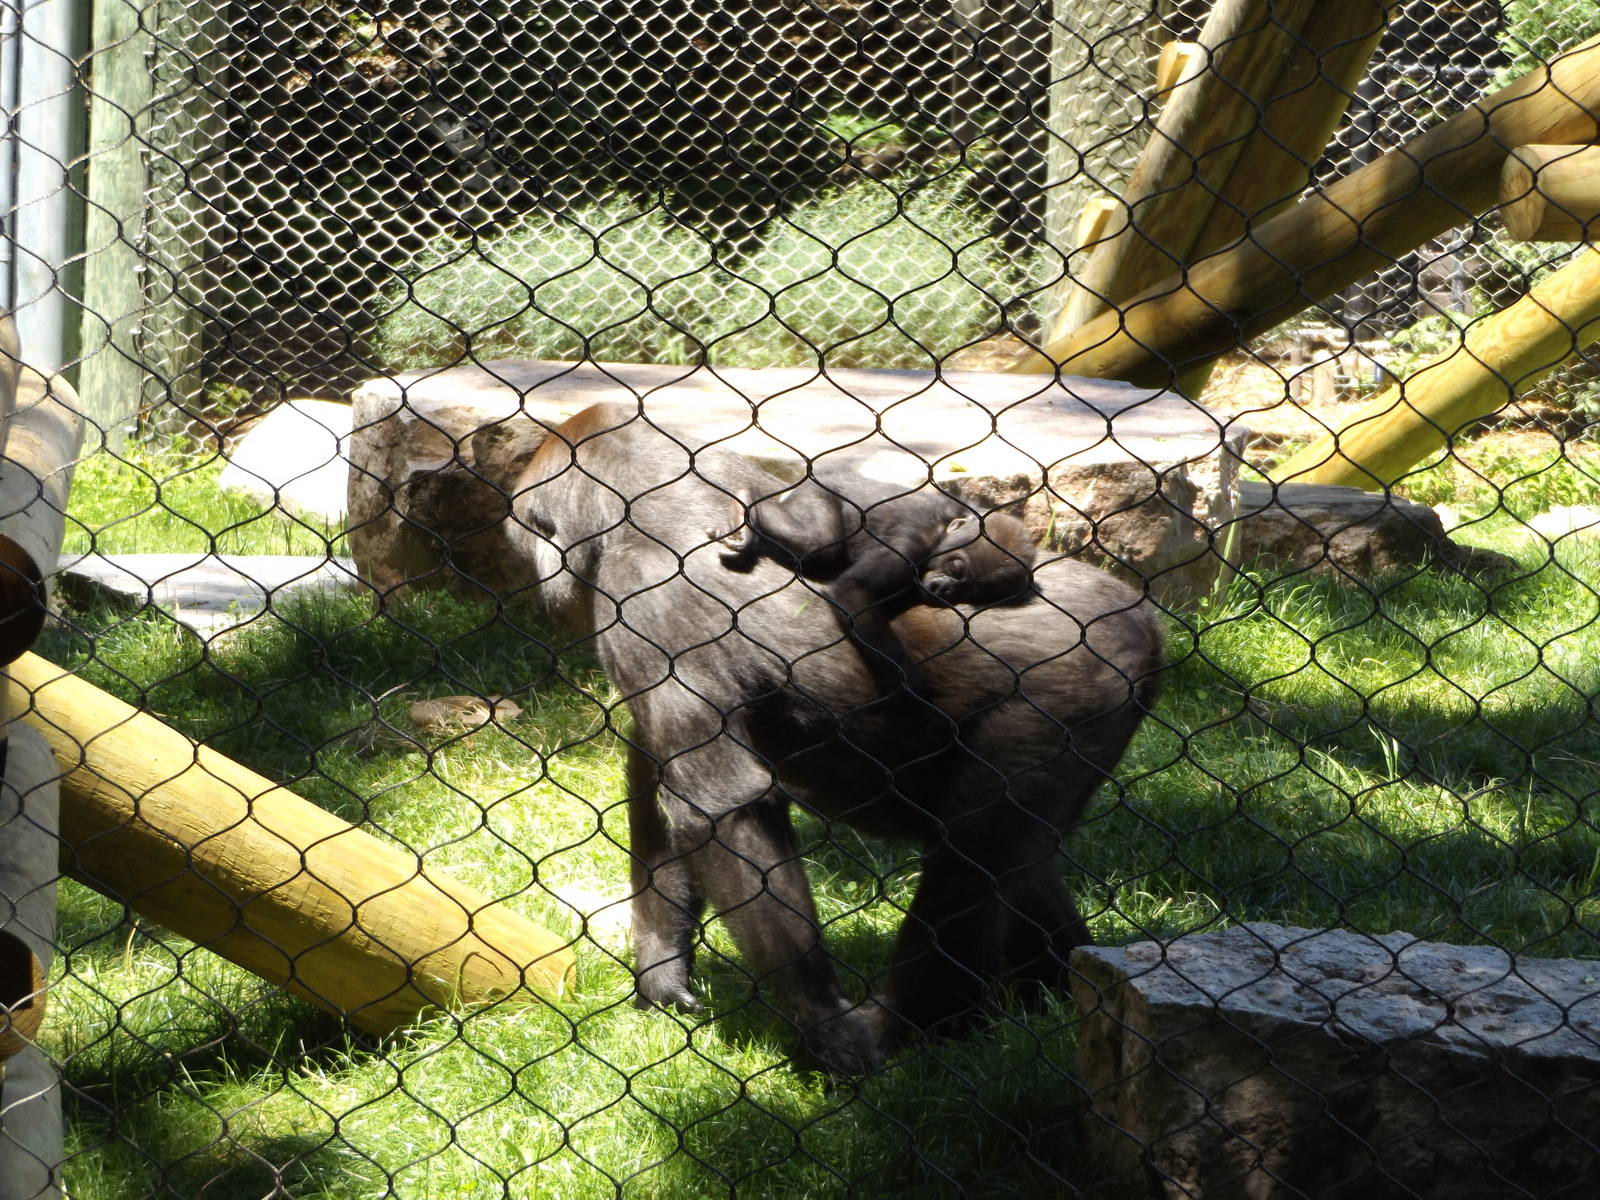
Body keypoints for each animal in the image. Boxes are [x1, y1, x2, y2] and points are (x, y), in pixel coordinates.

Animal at [717, 479, 1038, 697]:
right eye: (955, 569)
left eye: (972, 591)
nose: (943, 590)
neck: (945, 529)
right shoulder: (912, 543)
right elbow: (854, 590)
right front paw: (909, 683)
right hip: (817, 494)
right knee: (818, 542)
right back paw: (745, 504)